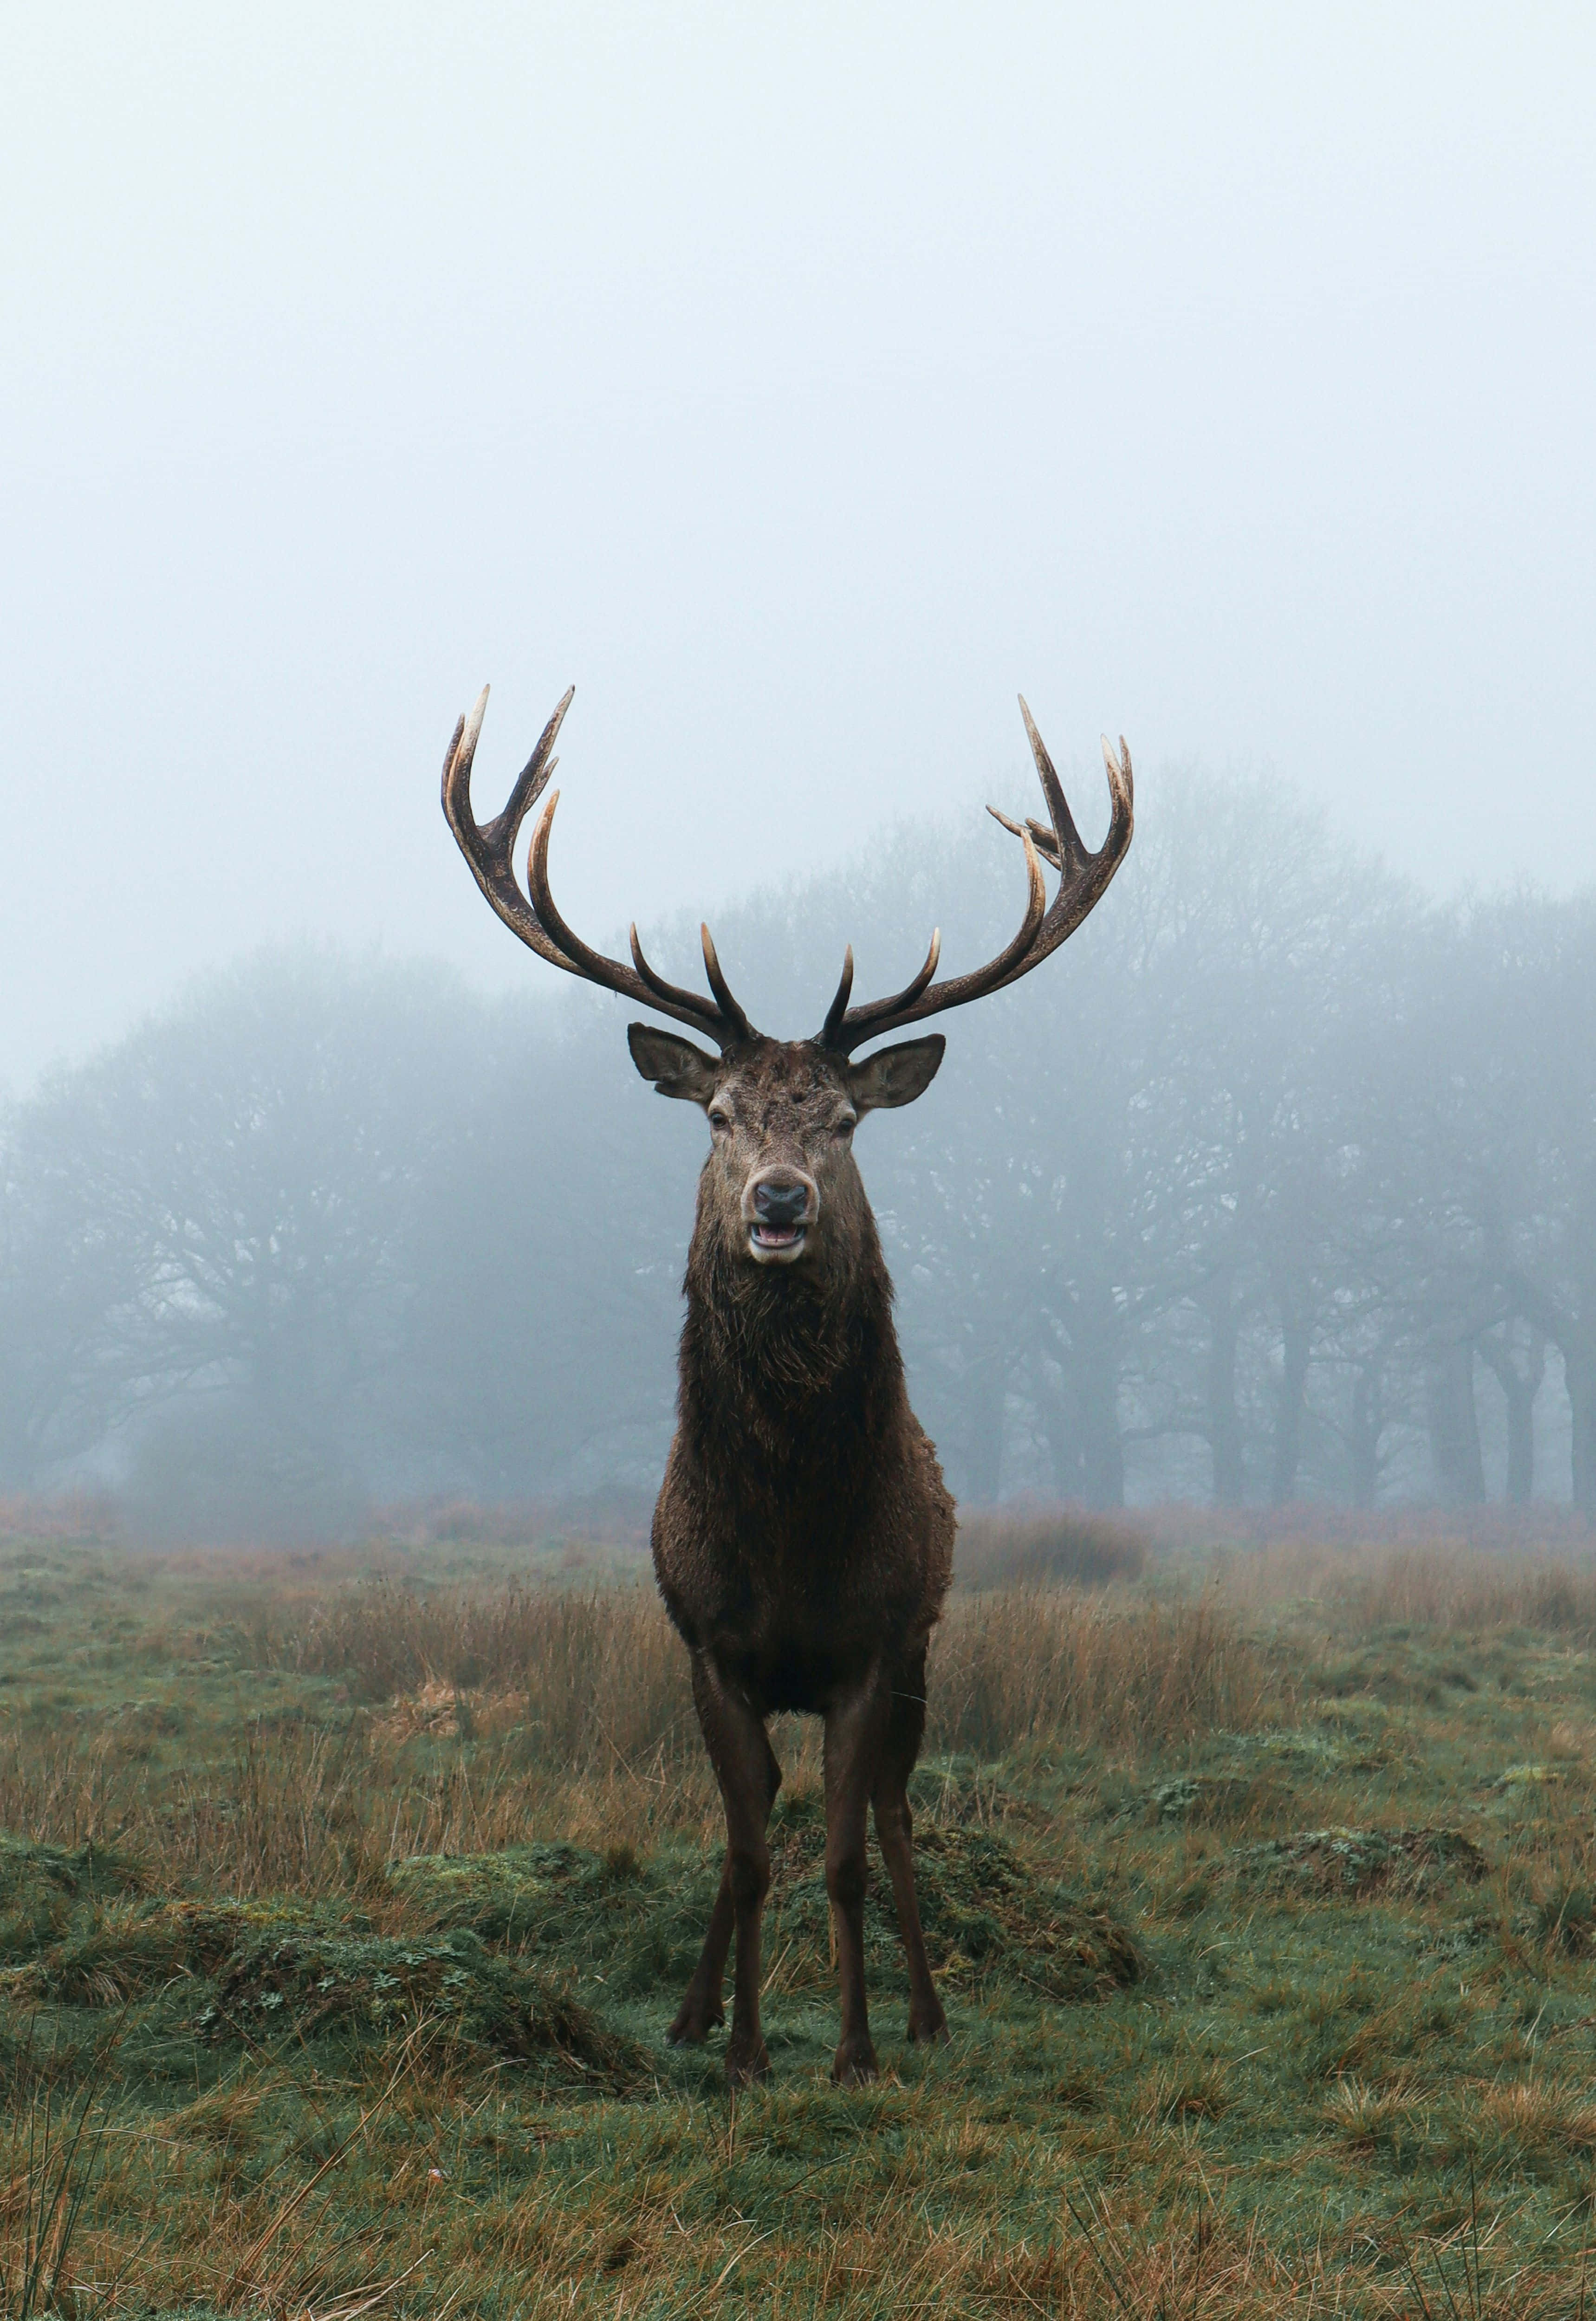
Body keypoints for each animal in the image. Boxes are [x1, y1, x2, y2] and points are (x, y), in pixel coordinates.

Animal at [442, 684, 1132, 2086]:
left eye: (844, 1122)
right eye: (716, 1114)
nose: (777, 1202)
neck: (790, 1536)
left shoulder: (873, 1643)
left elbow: (846, 1855)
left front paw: (857, 2047)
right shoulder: (710, 1646)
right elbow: (753, 1849)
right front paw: (744, 2050)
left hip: (924, 1651)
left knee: (895, 1810)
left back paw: (924, 2013)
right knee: (752, 1819)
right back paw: (694, 2012)